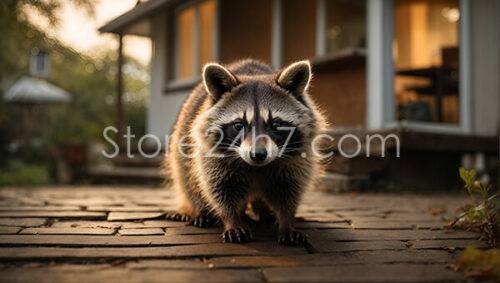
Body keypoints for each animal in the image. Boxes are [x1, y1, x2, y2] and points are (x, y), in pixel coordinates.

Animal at [165, 58, 328, 245]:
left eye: (276, 124)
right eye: (239, 125)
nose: (258, 155)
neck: (256, 167)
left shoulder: (297, 158)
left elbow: (289, 188)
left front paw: (287, 220)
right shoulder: (211, 155)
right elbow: (219, 188)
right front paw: (231, 219)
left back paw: (265, 212)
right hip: (182, 142)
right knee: (186, 178)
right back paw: (200, 211)